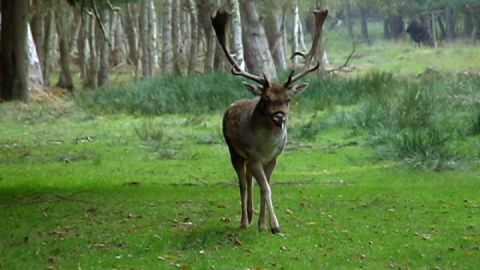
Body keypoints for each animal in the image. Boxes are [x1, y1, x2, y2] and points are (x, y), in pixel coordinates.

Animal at [212, 7, 328, 233]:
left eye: (288, 99)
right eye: (265, 99)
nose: (279, 116)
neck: (266, 147)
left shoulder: (273, 158)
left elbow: (266, 186)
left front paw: (263, 224)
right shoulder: (254, 156)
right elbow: (265, 188)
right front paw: (275, 226)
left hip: (246, 158)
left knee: (249, 179)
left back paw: (251, 216)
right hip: (234, 151)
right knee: (242, 182)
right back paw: (243, 221)